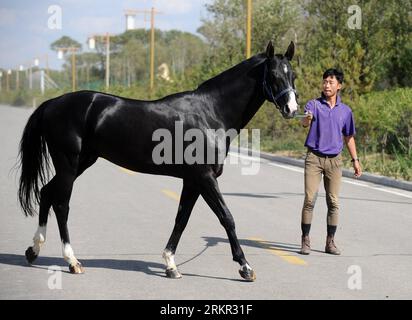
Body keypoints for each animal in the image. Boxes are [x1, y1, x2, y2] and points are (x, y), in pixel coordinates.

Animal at [17, 41, 298, 282]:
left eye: (292, 75)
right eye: (274, 75)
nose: (292, 109)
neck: (210, 112)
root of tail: (52, 104)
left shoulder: (193, 181)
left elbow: (181, 219)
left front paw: (170, 265)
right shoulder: (205, 178)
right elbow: (226, 217)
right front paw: (245, 267)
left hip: (81, 163)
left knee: (46, 192)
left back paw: (34, 251)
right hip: (69, 165)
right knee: (61, 205)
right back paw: (72, 261)